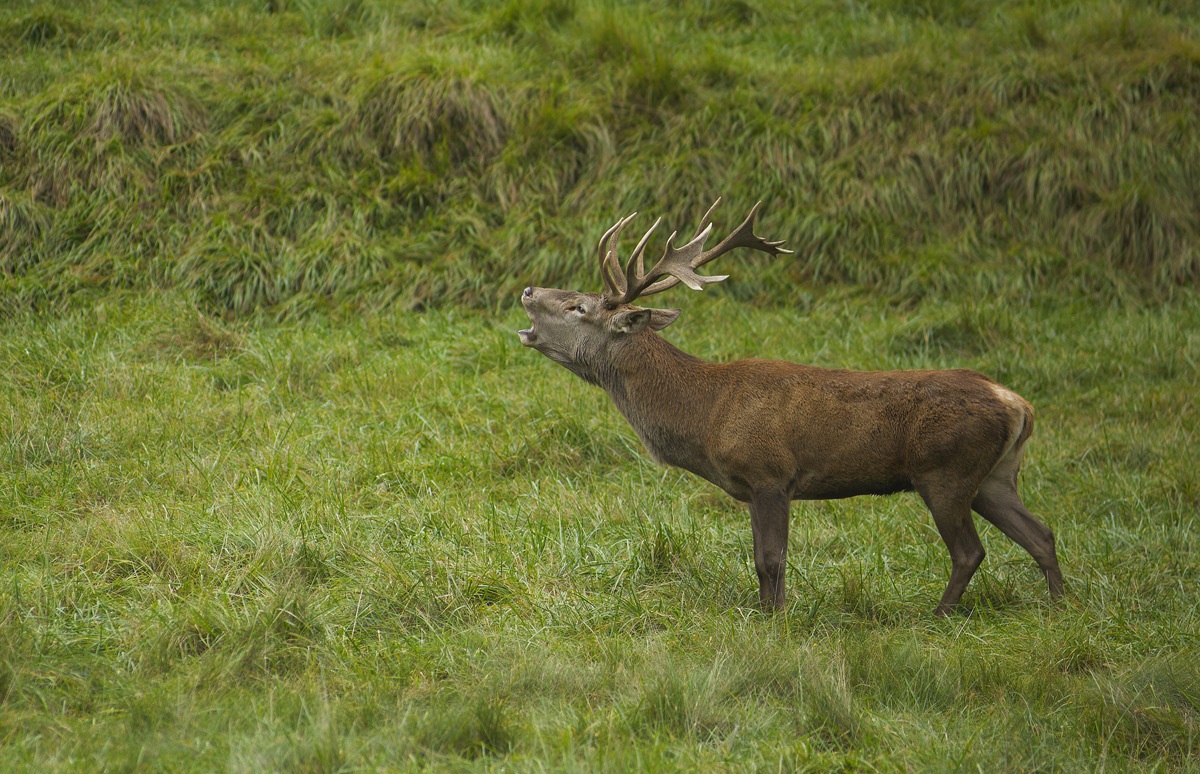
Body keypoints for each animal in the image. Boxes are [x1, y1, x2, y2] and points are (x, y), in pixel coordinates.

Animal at [517, 199, 1064, 616]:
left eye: (579, 307)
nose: (528, 289)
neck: (704, 414)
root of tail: (1017, 402)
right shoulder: (754, 485)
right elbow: (761, 562)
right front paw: (765, 613)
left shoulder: (770, 473)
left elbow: (771, 560)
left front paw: (776, 620)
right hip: (994, 475)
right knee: (1041, 533)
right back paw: (1061, 606)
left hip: (945, 470)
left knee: (970, 551)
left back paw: (939, 615)